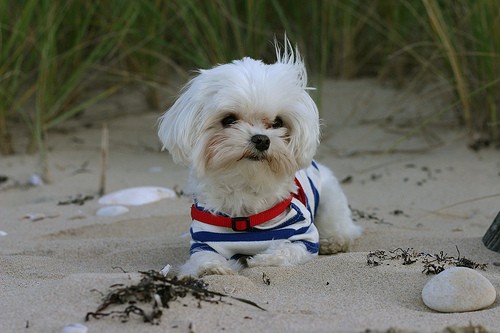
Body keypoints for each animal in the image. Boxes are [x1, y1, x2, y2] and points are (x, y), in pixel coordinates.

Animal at [158, 38, 362, 278]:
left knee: (342, 226)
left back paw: (334, 241)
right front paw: (212, 268)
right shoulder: (204, 241)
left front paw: (261, 259)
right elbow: (202, 259)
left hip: (330, 202)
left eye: (277, 122)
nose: (262, 140)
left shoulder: (303, 238)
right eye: (229, 120)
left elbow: (285, 250)